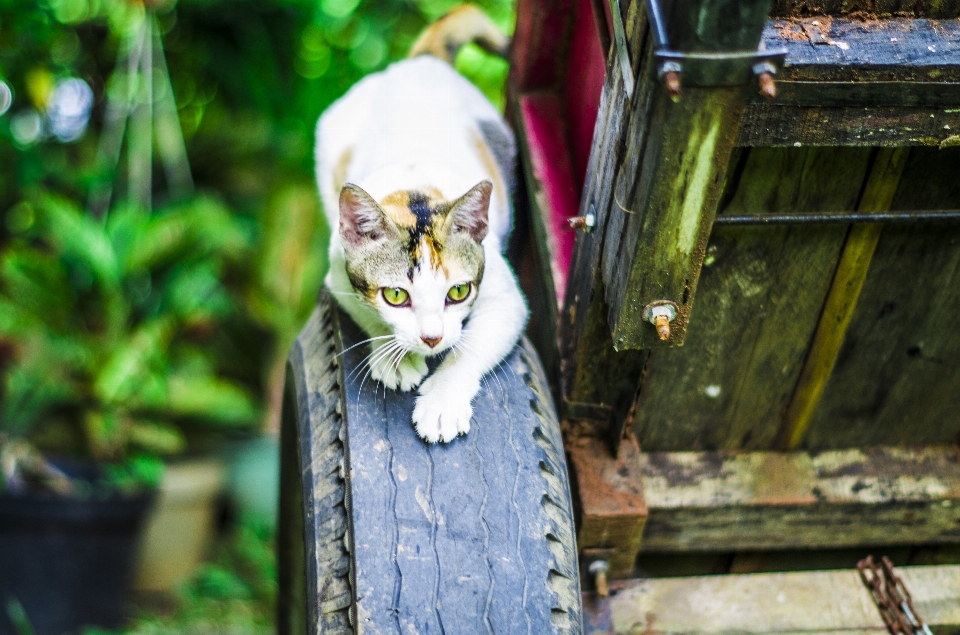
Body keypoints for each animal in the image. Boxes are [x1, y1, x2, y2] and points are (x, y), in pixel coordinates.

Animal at [314, 4, 524, 444]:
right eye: (396, 296)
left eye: (458, 292)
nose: (432, 338)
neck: (413, 186)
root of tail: (419, 63)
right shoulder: (337, 272)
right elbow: (365, 312)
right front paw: (394, 357)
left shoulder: (505, 295)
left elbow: (470, 346)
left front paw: (442, 402)